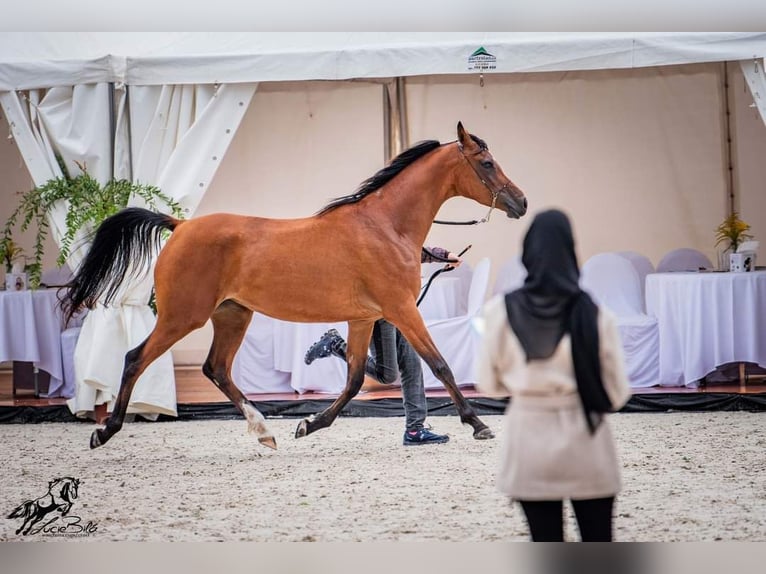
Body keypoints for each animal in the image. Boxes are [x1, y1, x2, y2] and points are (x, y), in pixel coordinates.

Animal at [61, 124, 528, 452]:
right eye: (487, 163)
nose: (521, 202)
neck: (385, 226)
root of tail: (180, 226)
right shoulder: (402, 309)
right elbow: (440, 364)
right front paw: (479, 424)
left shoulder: (364, 318)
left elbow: (354, 379)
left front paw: (308, 424)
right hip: (183, 317)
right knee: (135, 358)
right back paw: (105, 431)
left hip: (232, 314)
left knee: (216, 369)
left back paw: (264, 432)